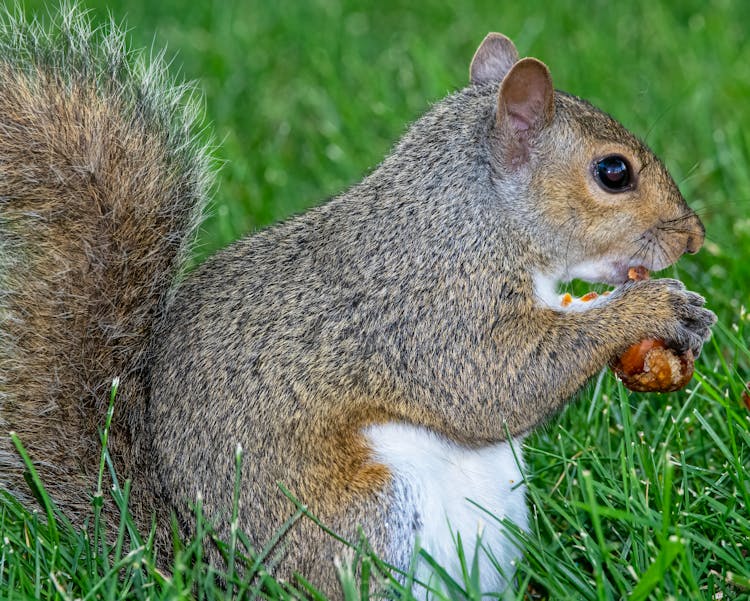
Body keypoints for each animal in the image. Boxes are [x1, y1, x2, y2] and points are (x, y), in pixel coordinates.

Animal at [0, 5, 716, 596]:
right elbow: (497, 383)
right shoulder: (429, 313)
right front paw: (655, 310)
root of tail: (205, 574)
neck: (473, 220)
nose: (695, 236)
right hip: (368, 521)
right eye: (613, 172)